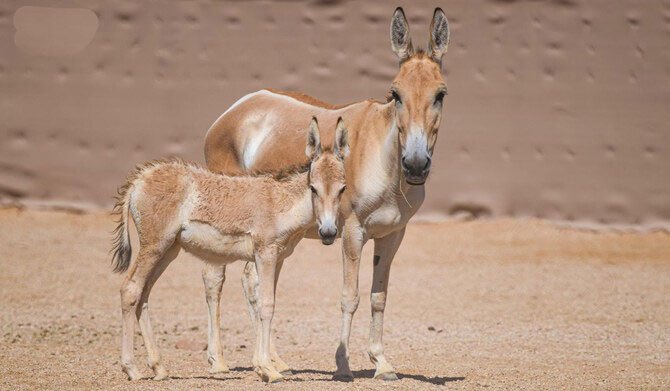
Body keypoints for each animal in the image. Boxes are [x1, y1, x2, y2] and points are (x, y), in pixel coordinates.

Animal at [112, 118, 350, 382]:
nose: (328, 233)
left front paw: (265, 366)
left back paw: (158, 367)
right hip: (154, 246)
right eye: (313, 188)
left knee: (143, 293)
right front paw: (268, 370)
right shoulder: (266, 254)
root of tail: (140, 178)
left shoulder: (277, 258)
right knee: (130, 289)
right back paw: (131, 368)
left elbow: (265, 303)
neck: (281, 202)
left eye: (342, 188)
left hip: (167, 250)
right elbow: (266, 305)